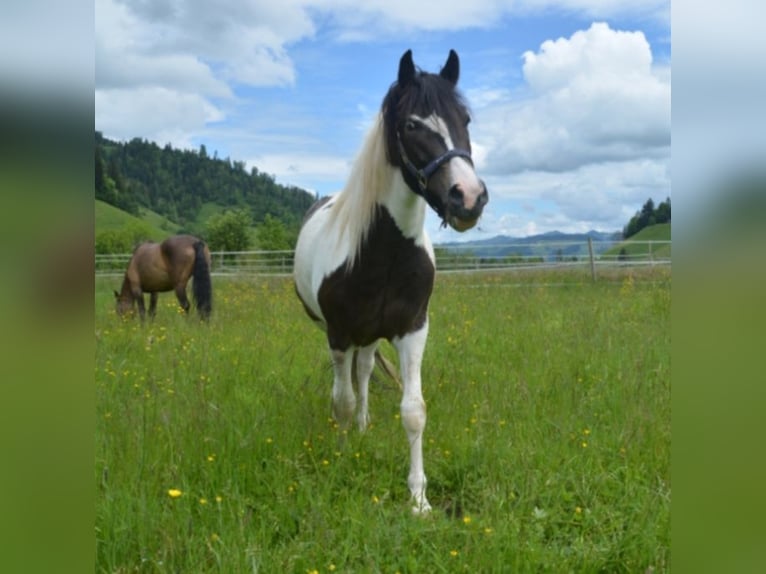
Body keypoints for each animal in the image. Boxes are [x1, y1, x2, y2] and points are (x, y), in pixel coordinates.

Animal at [296, 49, 488, 516]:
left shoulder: (412, 329)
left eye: (464, 119)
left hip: (371, 335)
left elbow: (413, 410)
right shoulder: (338, 333)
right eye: (412, 125)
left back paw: (366, 426)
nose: (468, 197)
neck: (380, 253)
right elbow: (342, 401)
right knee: (350, 383)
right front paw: (340, 459)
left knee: (365, 371)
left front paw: (418, 499)